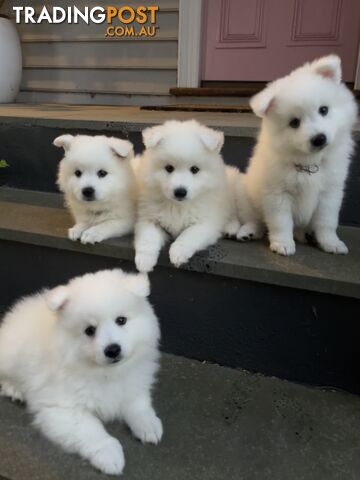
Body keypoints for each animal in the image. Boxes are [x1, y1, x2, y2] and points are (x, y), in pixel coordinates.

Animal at [0, 270, 162, 476]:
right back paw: (15, 389)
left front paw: (149, 424)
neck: (105, 373)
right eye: (89, 330)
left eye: (121, 320)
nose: (112, 349)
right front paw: (110, 455)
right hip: (11, 354)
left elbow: (139, 406)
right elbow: (92, 431)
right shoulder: (62, 409)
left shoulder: (132, 385)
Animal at [134, 119, 238, 274]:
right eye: (169, 168)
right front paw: (144, 261)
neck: (177, 206)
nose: (180, 192)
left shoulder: (205, 223)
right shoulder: (149, 218)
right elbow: (147, 238)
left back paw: (231, 228)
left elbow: (189, 235)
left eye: (194, 169)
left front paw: (178, 253)